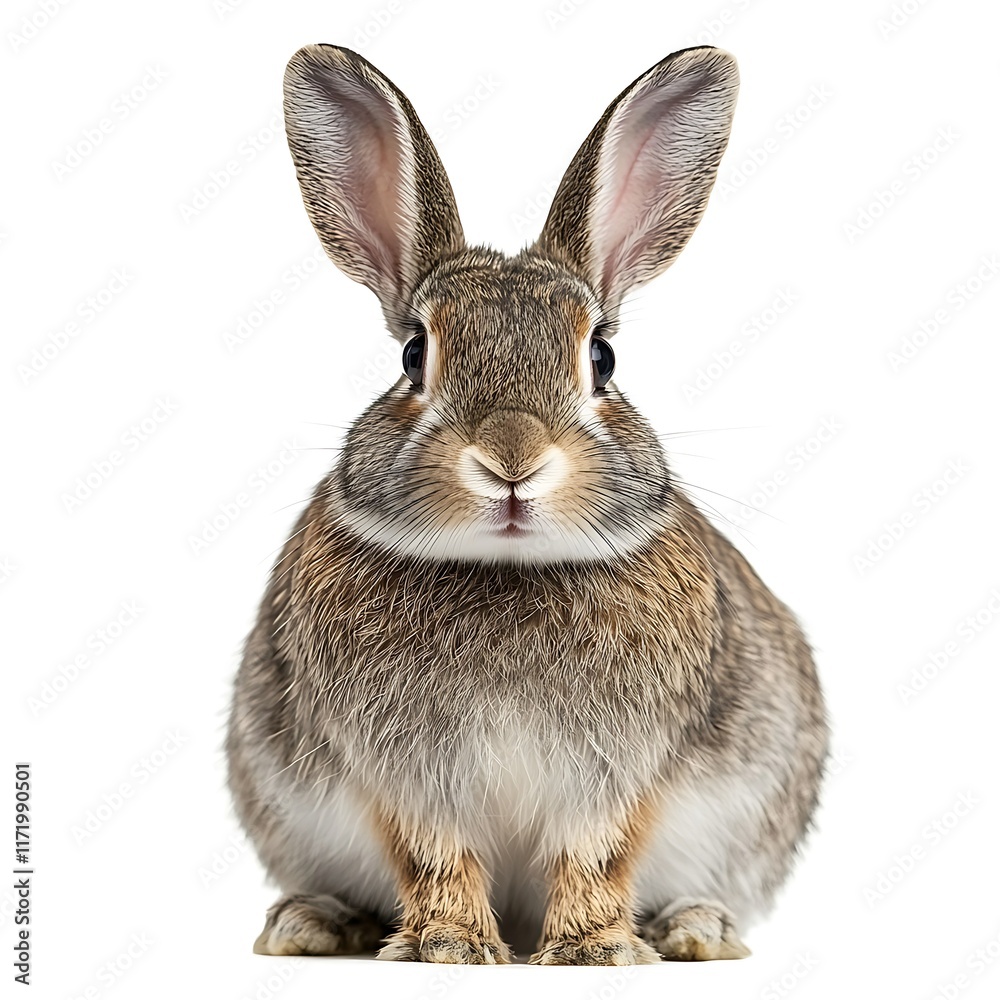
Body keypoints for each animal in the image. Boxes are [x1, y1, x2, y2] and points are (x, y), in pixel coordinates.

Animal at [225, 43, 829, 966]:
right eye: (414, 354)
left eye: (603, 358)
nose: (512, 459)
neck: (506, 568)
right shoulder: (405, 773)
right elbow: (435, 855)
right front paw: (448, 948)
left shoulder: (616, 774)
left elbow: (596, 854)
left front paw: (592, 952)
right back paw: (313, 923)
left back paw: (696, 928)